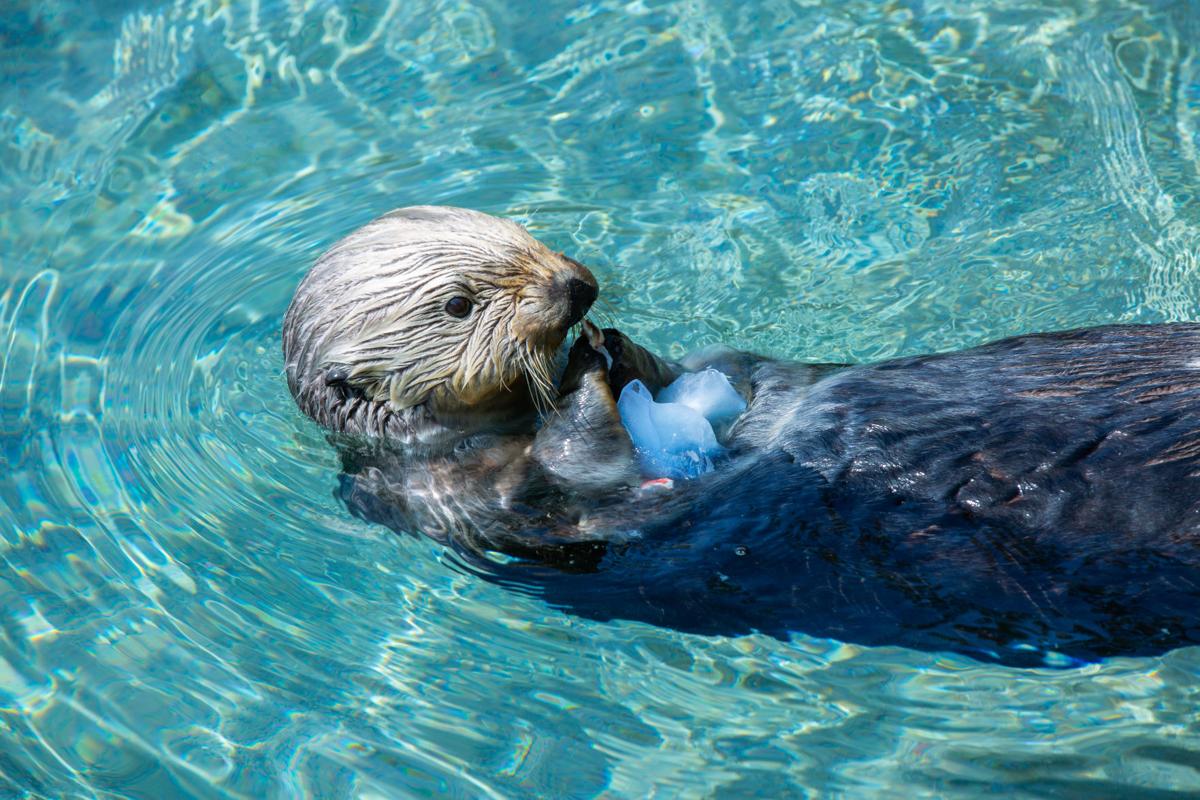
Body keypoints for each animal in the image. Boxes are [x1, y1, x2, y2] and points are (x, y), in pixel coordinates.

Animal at [283, 206, 1200, 667]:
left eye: (520, 233)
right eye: (459, 305)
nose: (577, 289)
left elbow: (735, 371)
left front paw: (623, 350)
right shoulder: (474, 504)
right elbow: (584, 485)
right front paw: (584, 379)